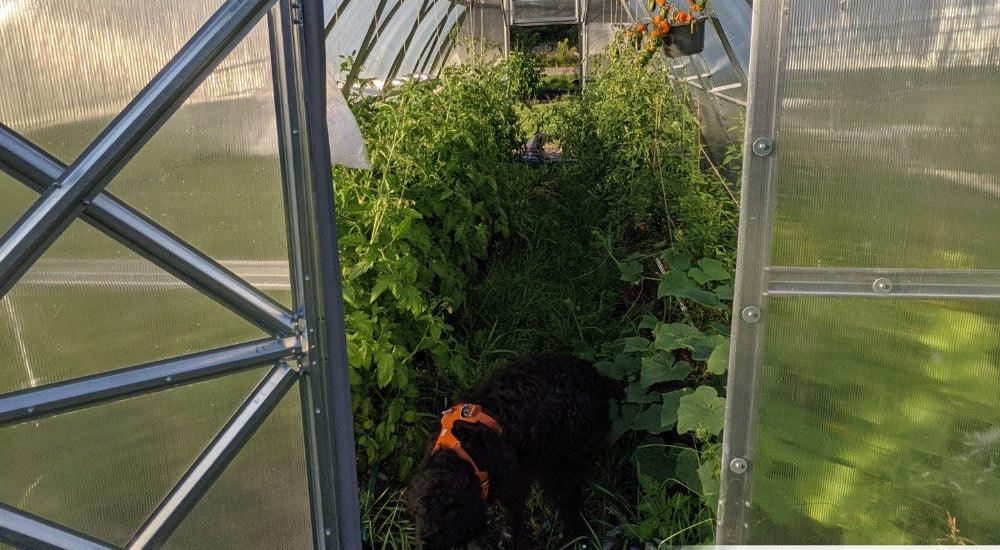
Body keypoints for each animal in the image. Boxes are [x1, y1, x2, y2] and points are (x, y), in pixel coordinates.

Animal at [408, 356, 616, 548]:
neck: (462, 453)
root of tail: (600, 381)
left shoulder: (514, 486)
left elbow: (511, 522)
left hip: (564, 465)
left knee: (571, 509)